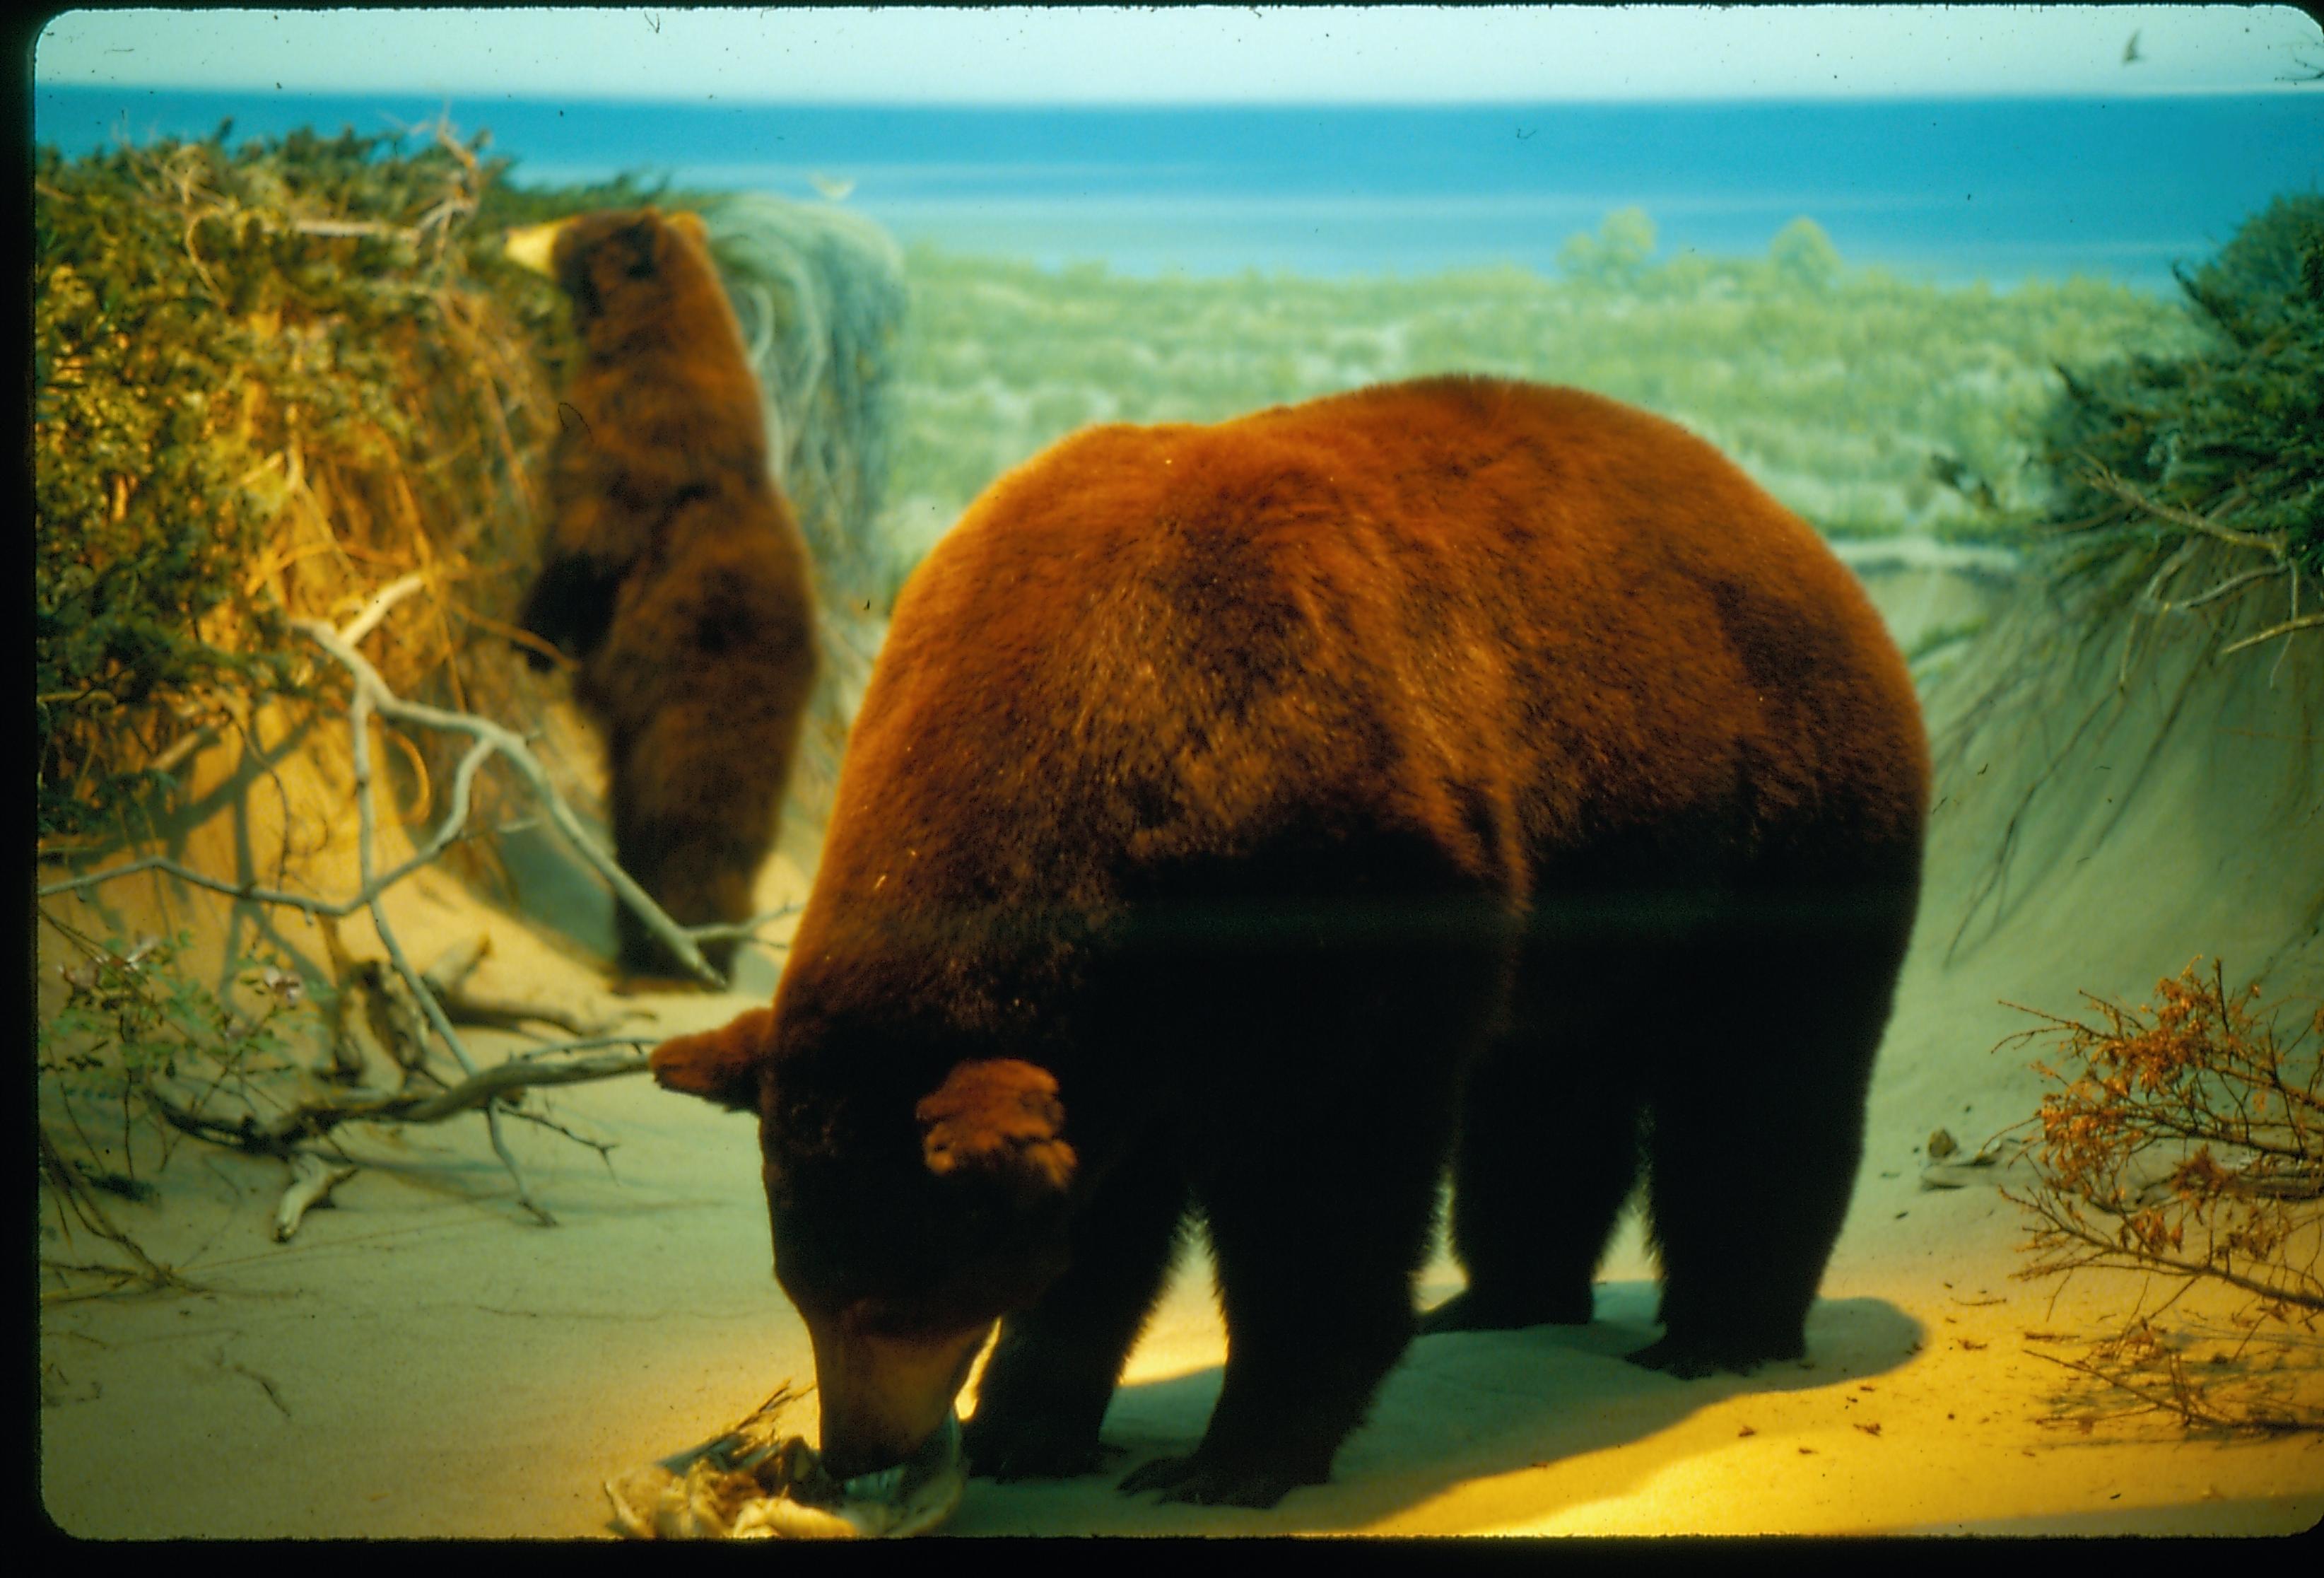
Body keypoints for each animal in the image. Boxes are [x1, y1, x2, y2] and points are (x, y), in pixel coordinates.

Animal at [506, 205, 818, 981]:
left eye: (568, 229)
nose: (509, 233)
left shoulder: (635, 435)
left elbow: (587, 539)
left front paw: (529, 638)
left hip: (693, 709)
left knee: (680, 820)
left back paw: (680, 949)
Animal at [650, 376, 1924, 1515]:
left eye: (897, 1301)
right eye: (801, 1288)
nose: (854, 1450)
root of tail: (1808, 543)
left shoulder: (1333, 888)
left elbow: (1321, 1184)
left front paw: (1233, 1453)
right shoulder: (1132, 1009)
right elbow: (1106, 1208)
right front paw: (1028, 1421)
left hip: (1779, 828)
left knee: (1764, 1083)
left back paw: (1720, 1329)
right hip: (1598, 897)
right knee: (1546, 1092)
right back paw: (1506, 1297)